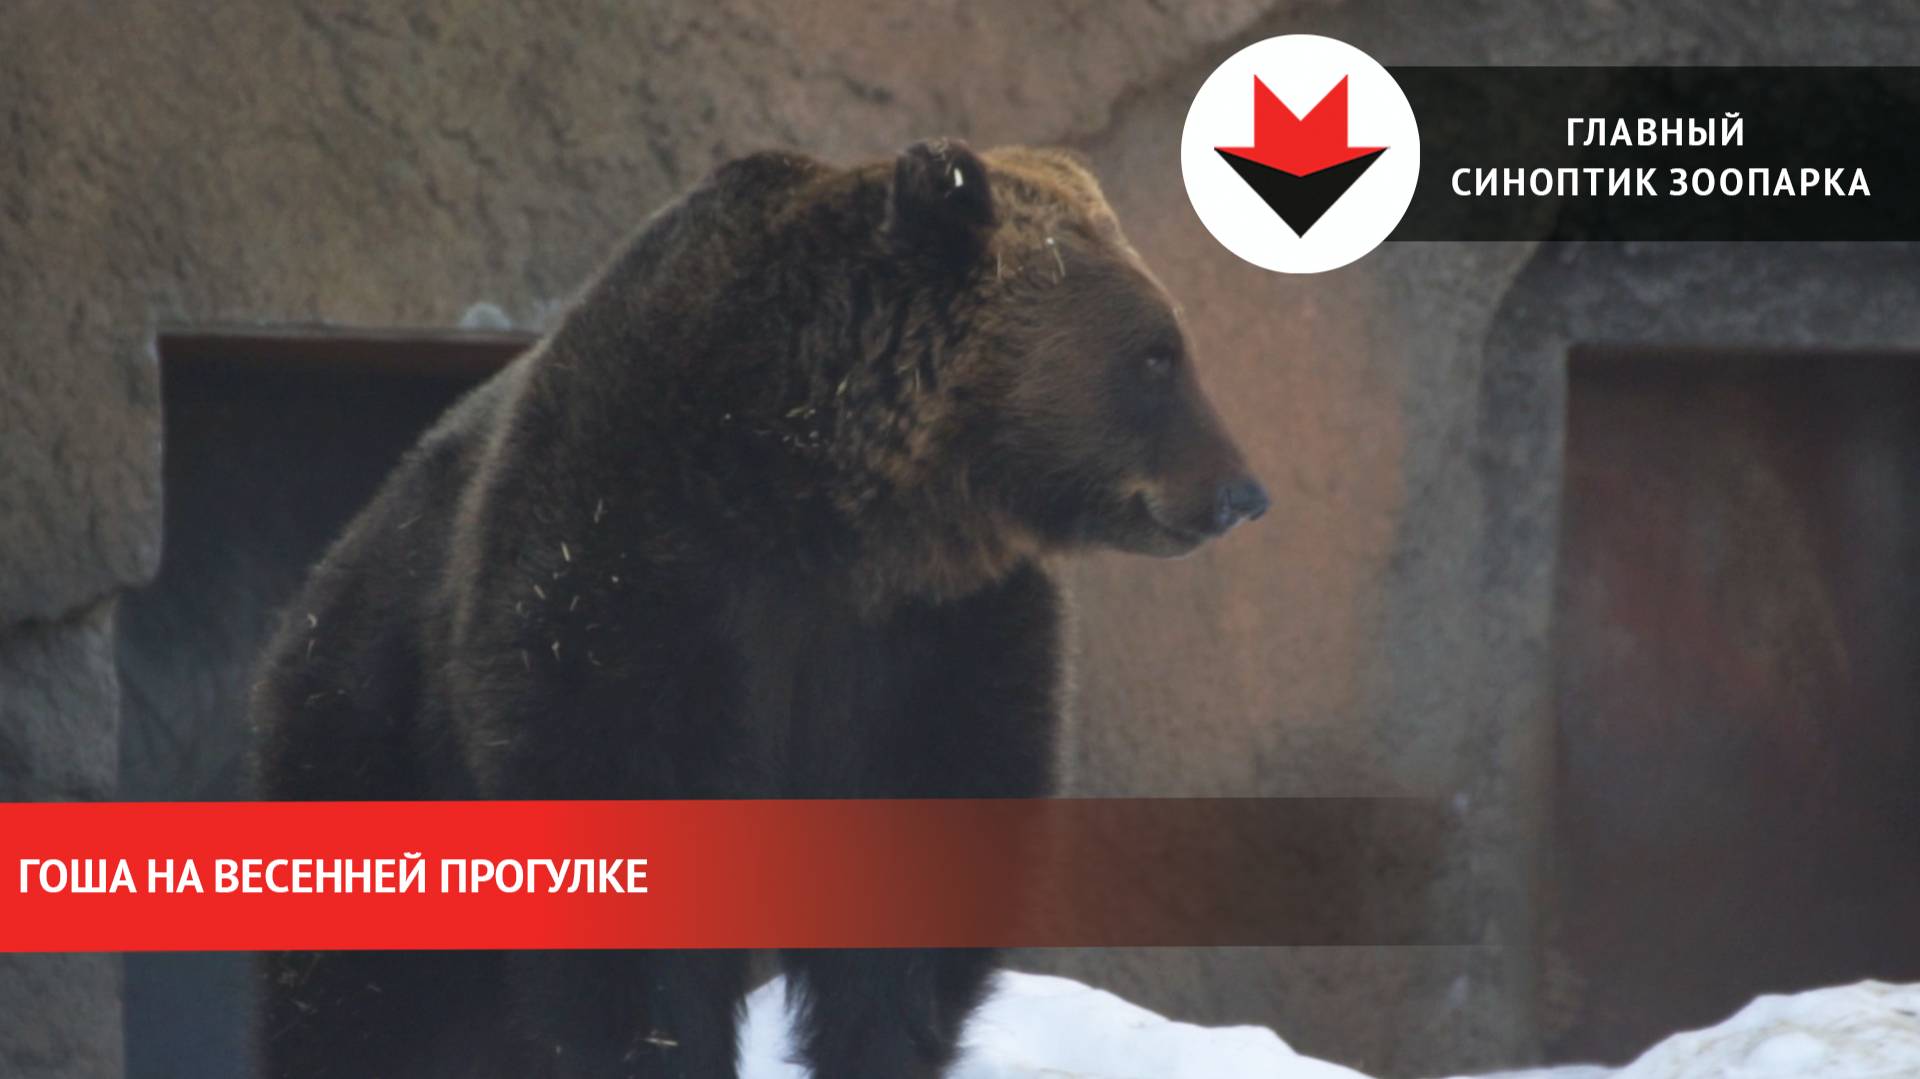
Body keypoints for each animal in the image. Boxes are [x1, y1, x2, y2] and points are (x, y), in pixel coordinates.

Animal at [252, 137, 1267, 1079]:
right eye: (1157, 354)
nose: (1241, 492)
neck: (830, 510)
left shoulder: (933, 636)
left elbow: (909, 885)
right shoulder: (635, 578)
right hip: (376, 732)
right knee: (367, 989)